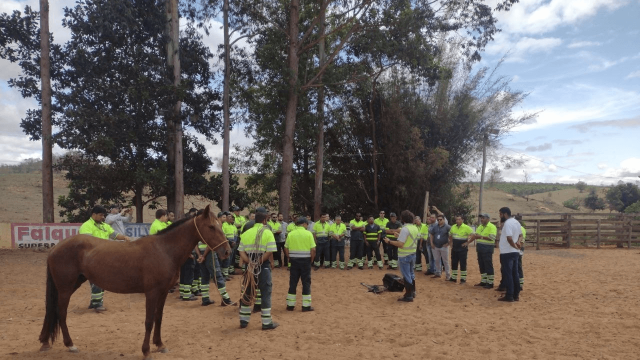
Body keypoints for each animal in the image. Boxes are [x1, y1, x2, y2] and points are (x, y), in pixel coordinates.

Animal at [37, 204, 230, 358]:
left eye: (219, 225)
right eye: (211, 227)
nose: (227, 251)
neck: (164, 249)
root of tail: (56, 248)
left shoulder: (163, 292)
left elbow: (159, 318)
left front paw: (159, 344)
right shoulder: (151, 293)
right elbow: (149, 321)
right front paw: (146, 351)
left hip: (74, 283)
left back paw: (46, 342)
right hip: (65, 288)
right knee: (61, 312)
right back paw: (70, 345)